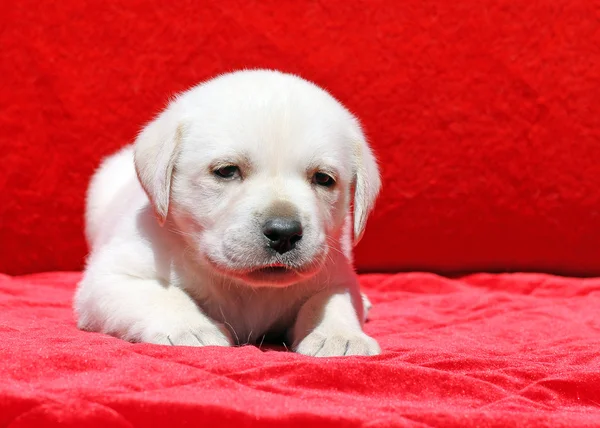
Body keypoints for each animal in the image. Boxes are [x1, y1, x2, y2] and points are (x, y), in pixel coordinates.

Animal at [75, 69, 382, 358]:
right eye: (226, 171)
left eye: (323, 179)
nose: (284, 233)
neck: (247, 289)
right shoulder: (109, 278)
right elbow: (160, 294)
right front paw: (191, 328)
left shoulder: (337, 273)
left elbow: (332, 300)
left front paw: (339, 336)